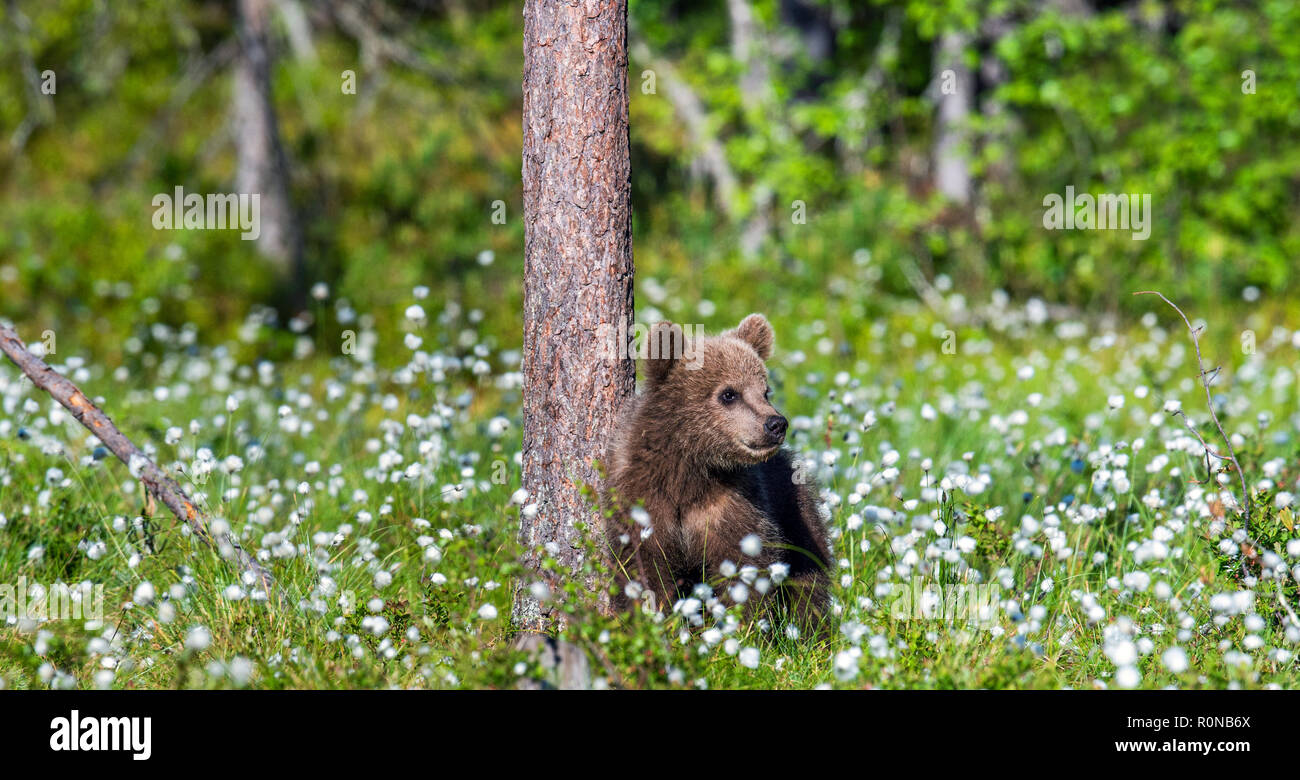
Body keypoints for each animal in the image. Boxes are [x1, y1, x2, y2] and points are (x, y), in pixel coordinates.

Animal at [601, 313, 833, 636]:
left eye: (765, 391)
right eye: (728, 393)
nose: (776, 424)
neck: (691, 471)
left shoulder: (732, 504)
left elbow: (742, 566)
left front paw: (741, 629)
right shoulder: (644, 496)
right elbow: (643, 565)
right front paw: (653, 623)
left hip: (794, 508)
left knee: (810, 571)